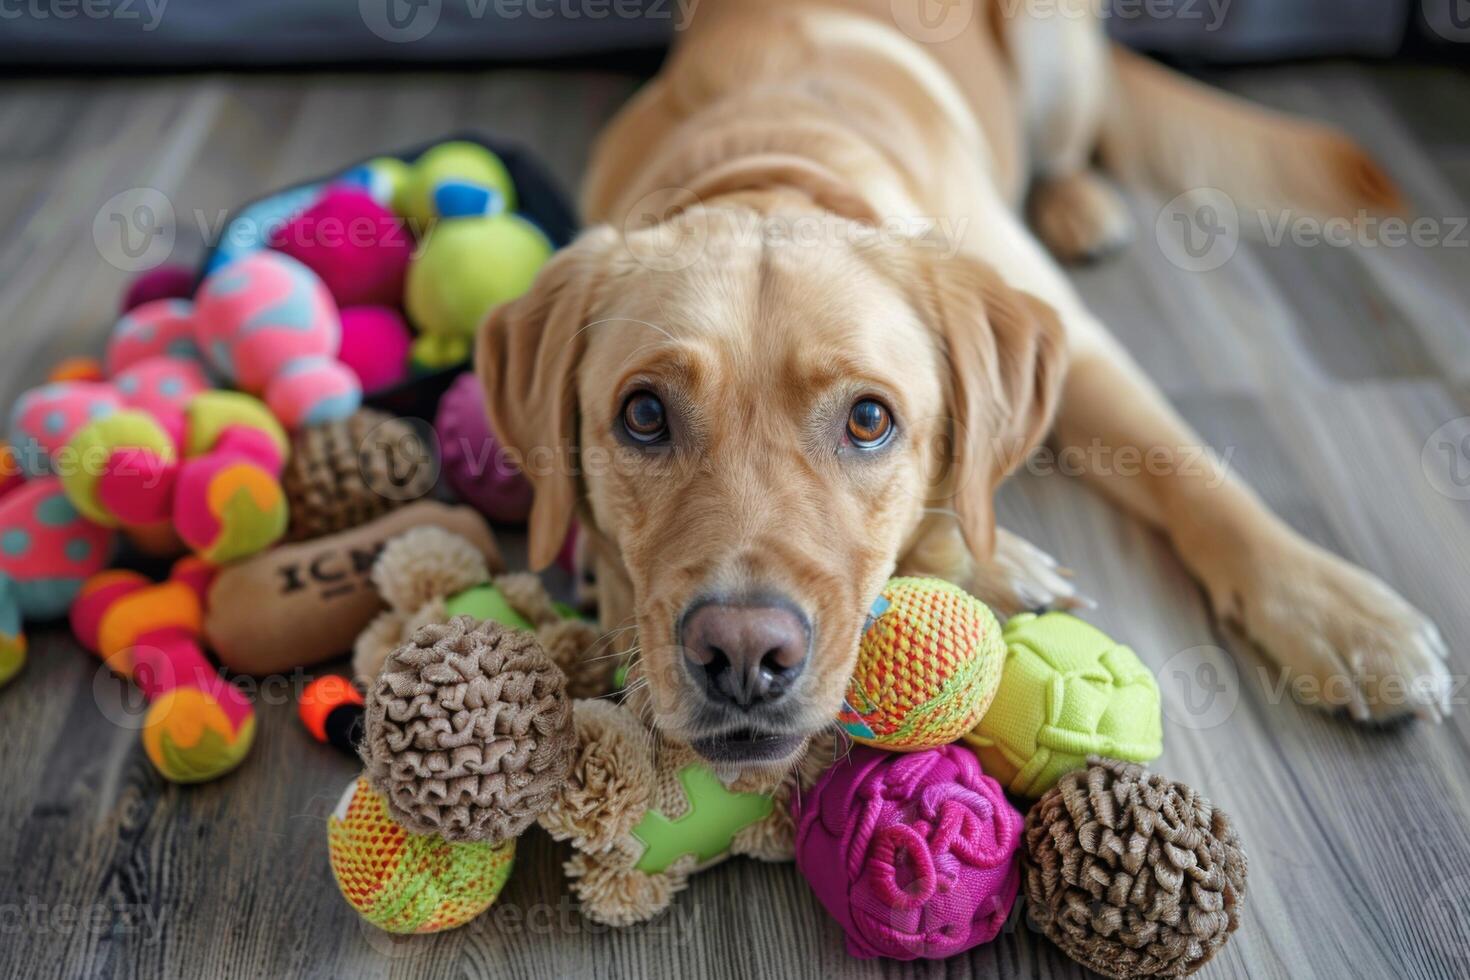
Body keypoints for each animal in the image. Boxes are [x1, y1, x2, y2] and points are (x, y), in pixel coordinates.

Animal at [479, 0, 1446, 769]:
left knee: (1068, 152)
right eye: (643, 415)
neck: (774, 153)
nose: (744, 654)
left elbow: (1192, 472)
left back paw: (1080, 206)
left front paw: (1342, 614)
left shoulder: (1082, 351)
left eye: (870, 420)